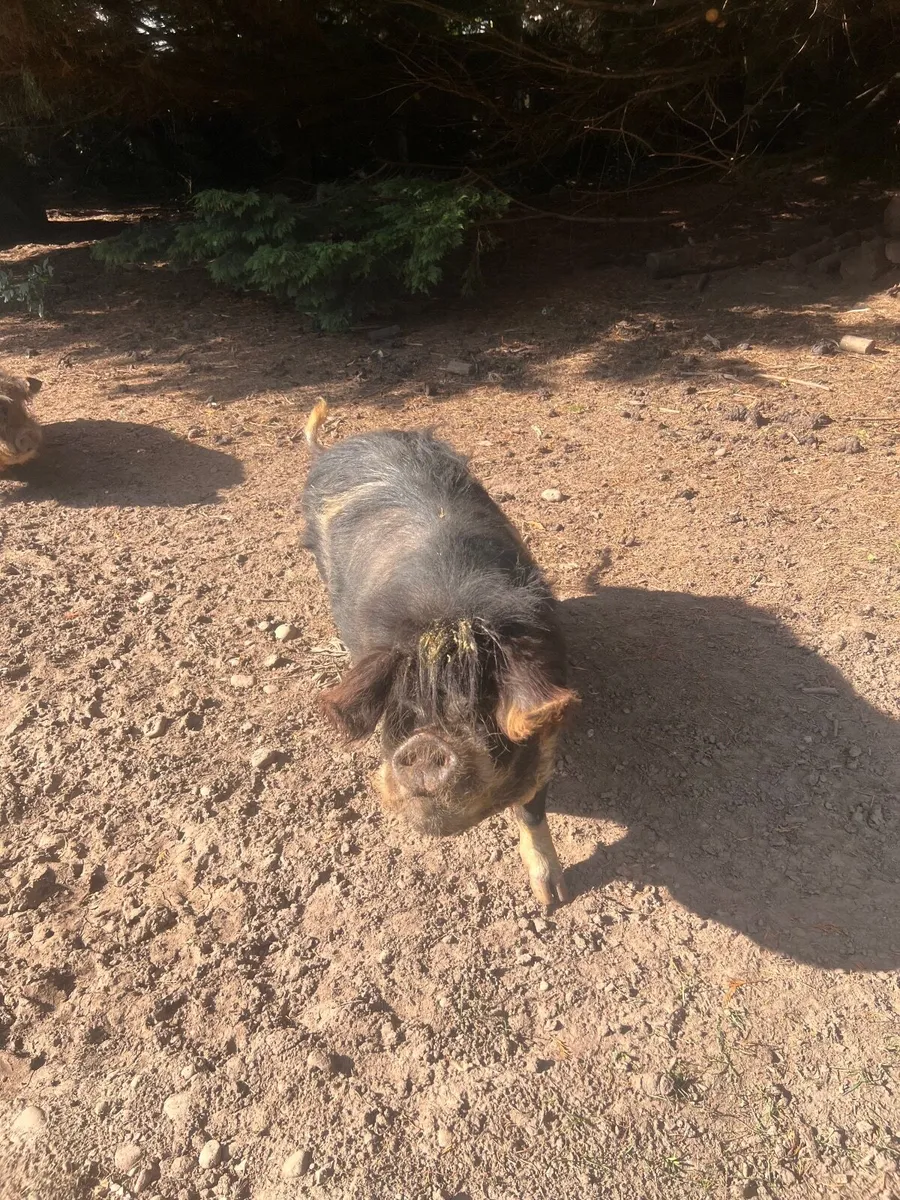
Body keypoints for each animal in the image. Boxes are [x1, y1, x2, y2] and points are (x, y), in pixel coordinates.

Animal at [300, 400, 577, 904]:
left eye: (481, 707)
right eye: (402, 707)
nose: (428, 745)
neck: (447, 611)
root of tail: (340, 446)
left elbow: (532, 812)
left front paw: (553, 898)